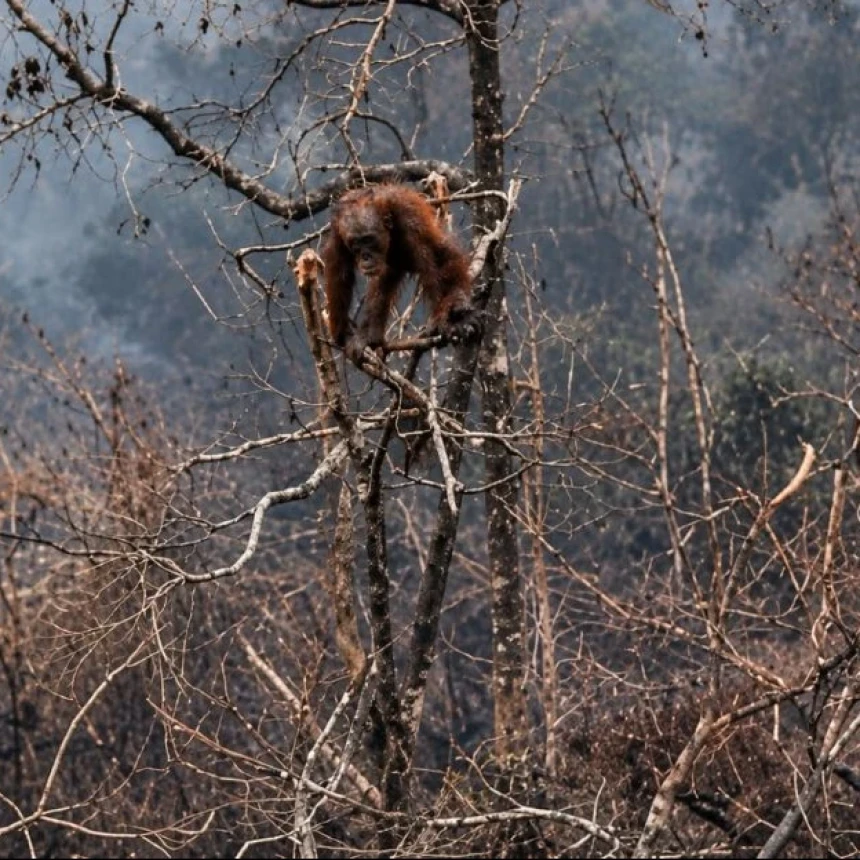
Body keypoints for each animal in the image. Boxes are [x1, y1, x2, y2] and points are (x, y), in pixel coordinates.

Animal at [321, 183, 477, 355]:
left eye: (368, 239)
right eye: (356, 242)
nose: (365, 256)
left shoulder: (409, 223)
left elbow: (430, 261)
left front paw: (442, 318)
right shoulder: (337, 232)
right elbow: (339, 273)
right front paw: (341, 332)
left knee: (442, 254)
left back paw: (456, 302)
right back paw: (370, 335)